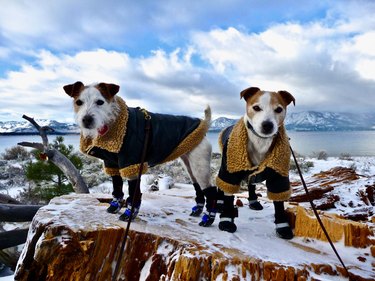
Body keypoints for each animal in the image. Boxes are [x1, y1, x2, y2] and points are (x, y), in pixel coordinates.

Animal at [63, 81, 219, 225]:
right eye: (79, 102)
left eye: (100, 102)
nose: (86, 119)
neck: (113, 122)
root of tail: (204, 125)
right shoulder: (112, 163)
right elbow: (117, 188)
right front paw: (114, 206)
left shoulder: (132, 165)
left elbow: (134, 194)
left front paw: (129, 214)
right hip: (189, 164)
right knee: (198, 186)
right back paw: (198, 210)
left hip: (199, 166)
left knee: (211, 191)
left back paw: (208, 219)